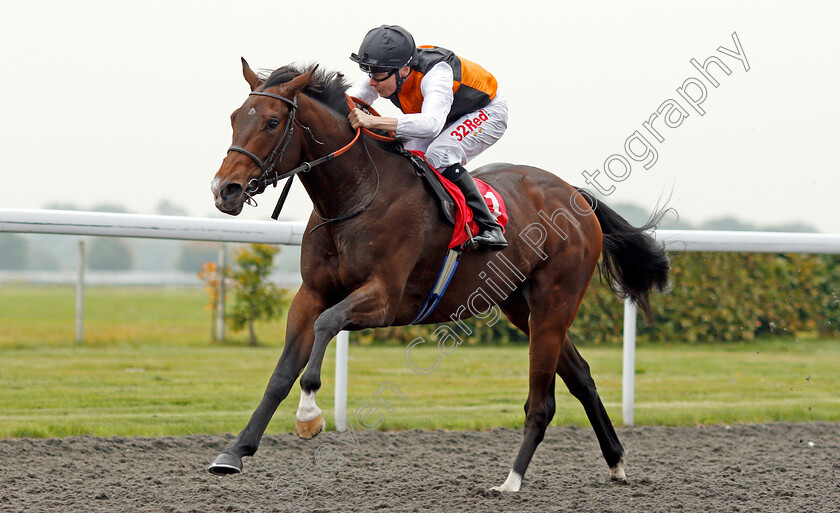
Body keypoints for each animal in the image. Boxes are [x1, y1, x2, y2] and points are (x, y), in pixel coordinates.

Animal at [207, 61, 668, 492]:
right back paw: (616, 462)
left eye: (271, 122)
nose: (224, 190)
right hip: (521, 306)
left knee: (543, 401)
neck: (356, 194)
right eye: (234, 117)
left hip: (555, 303)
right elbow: (283, 371)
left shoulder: (385, 299)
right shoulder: (312, 293)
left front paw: (309, 415)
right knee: (582, 377)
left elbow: (327, 324)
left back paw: (511, 480)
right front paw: (235, 452)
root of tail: (577, 195)